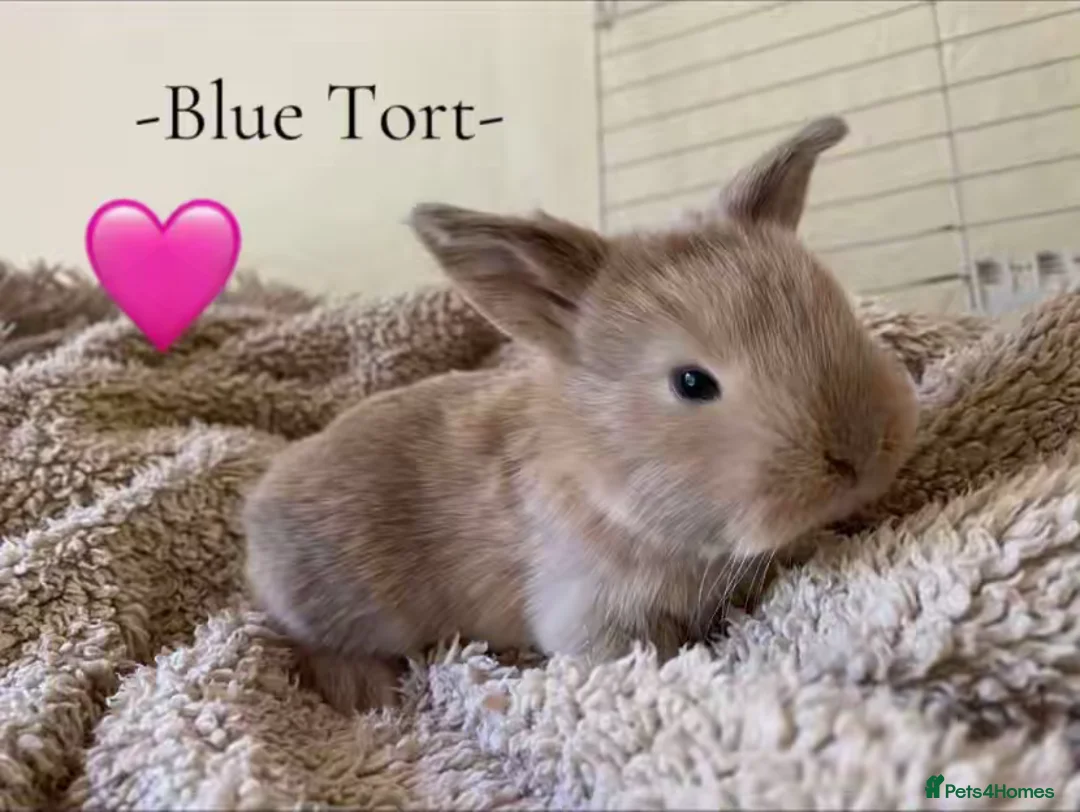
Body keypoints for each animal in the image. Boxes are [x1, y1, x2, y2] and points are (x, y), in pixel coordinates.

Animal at [242, 115, 919, 713]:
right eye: (692, 383)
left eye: (840, 313)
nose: (860, 454)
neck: (609, 479)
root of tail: (255, 516)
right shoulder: (594, 615)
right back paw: (367, 693)